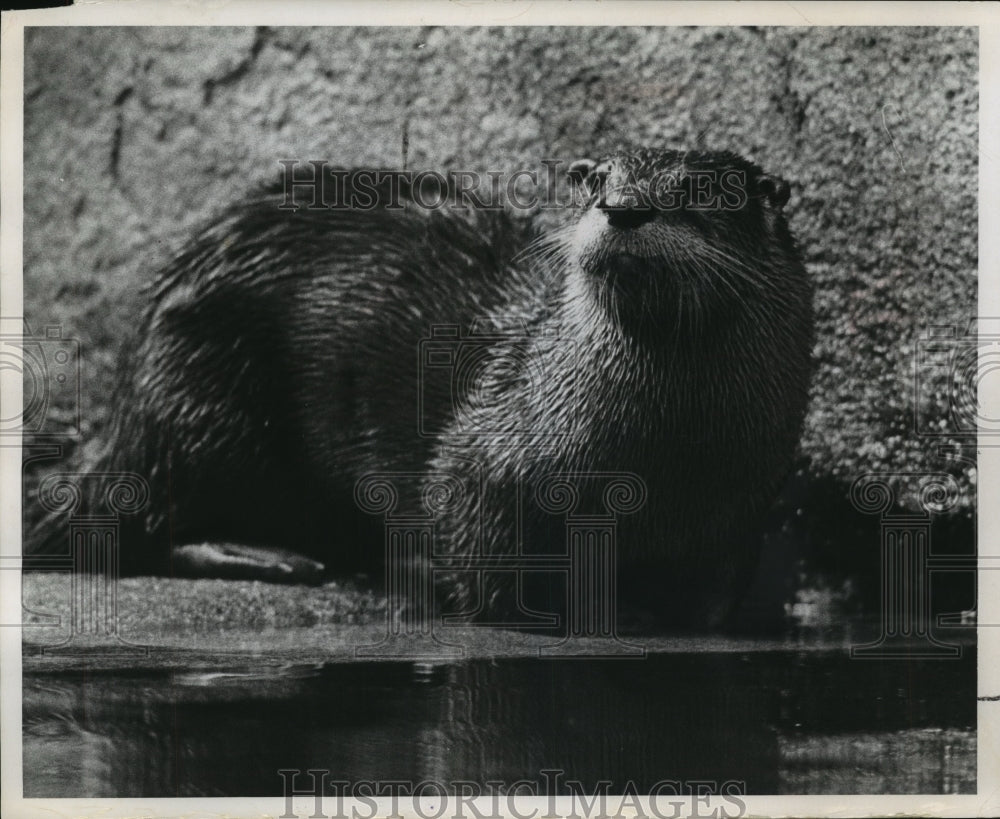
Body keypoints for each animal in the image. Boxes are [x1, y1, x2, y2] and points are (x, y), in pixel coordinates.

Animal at [28, 148, 813, 630]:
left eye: (704, 191)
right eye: (597, 184)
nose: (623, 208)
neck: (665, 461)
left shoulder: (742, 510)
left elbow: (715, 596)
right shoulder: (484, 466)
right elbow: (484, 560)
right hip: (198, 396)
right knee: (136, 520)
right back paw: (275, 557)